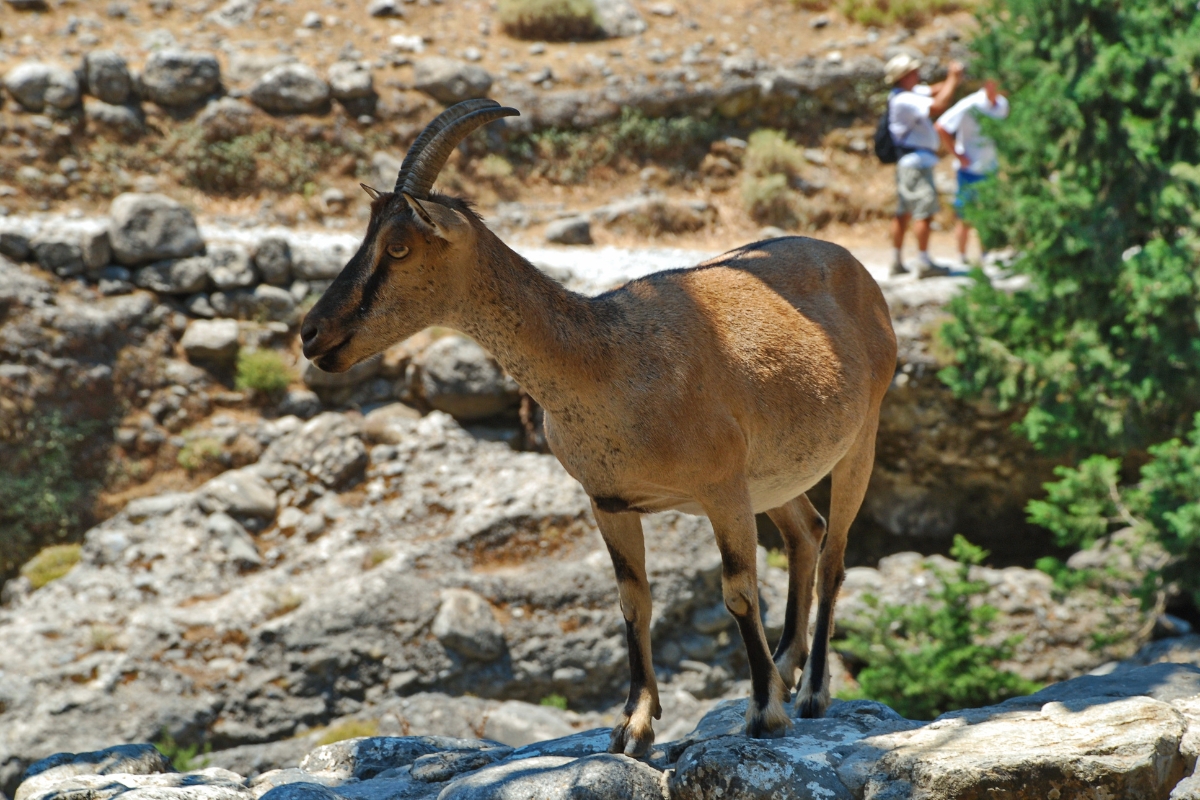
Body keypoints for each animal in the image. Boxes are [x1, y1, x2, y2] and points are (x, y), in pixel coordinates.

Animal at [304, 98, 897, 753]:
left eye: (399, 247)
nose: (312, 333)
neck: (607, 361)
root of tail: (856, 270)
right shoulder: (610, 500)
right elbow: (632, 601)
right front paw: (633, 725)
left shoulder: (721, 490)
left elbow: (739, 591)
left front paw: (764, 712)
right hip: (772, 479)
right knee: (806, 533)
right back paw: (789, 668)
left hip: (859, 438)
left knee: (835, 555)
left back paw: (811, 690)